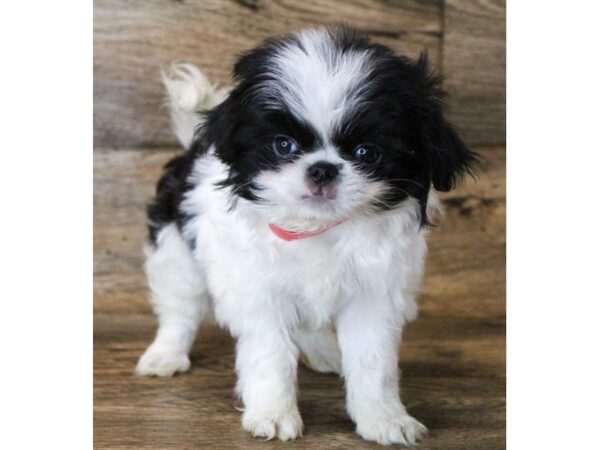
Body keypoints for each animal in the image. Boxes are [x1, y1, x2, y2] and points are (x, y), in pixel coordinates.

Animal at [136, 25, 478, 446]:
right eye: (284, 145)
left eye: (367, 153)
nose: (322, 169)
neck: (315, 228)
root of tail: (192, 149)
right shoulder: (258, 291)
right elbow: (270, 354)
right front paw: (272, 414)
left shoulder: (374, 297)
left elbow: (373, 362)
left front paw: (384, 418)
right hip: (175, 251)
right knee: (180, 308)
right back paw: (166, 355)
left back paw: (325, 353)